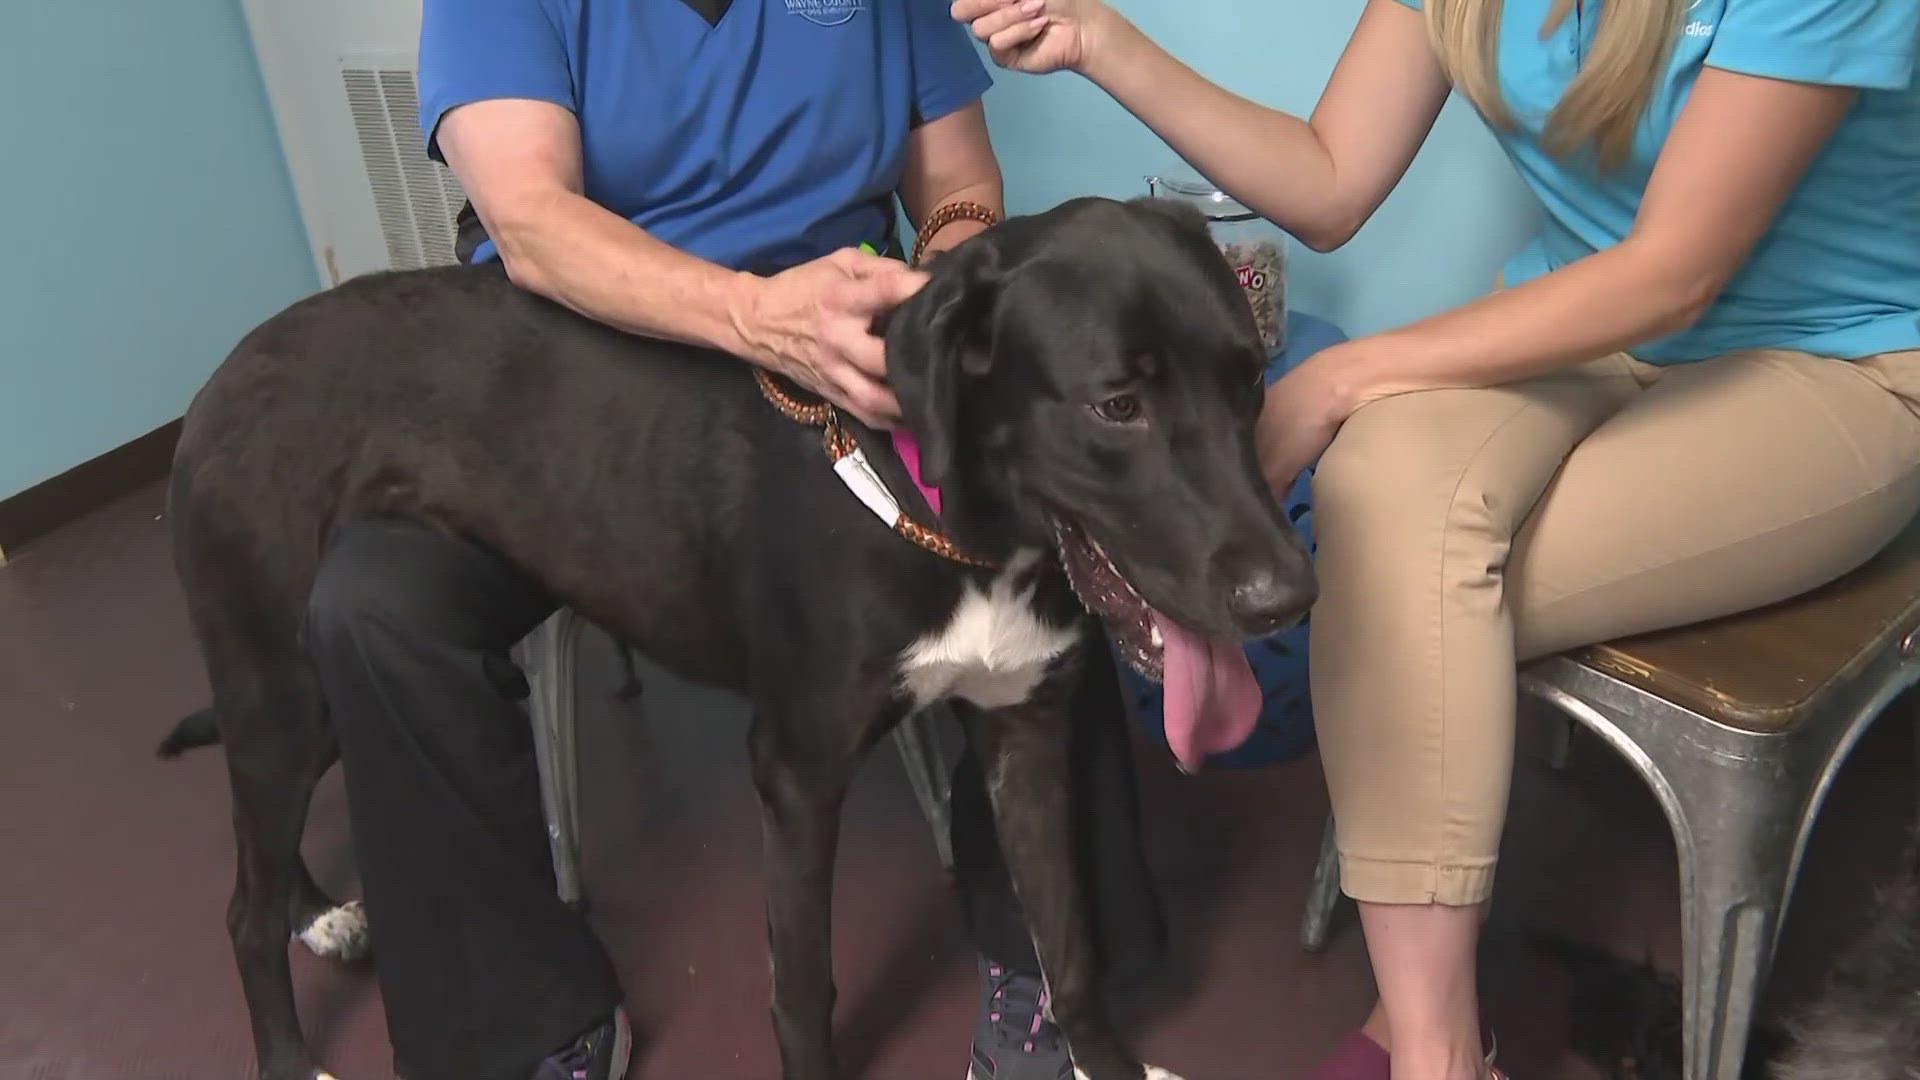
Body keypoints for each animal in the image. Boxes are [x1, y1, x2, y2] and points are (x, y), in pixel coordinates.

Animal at [157, 195, 1313, 1076]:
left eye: (1250, 379)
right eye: (1117, 406)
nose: (1290, 597)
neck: (958, 523)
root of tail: (215, 381)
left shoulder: (1025, 733)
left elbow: (1066, 950)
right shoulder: (797, 771)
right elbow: (802, 985)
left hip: (290, 700)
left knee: (261, 863)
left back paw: (322, 913)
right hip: (281, 685)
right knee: (240, 908)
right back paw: (288, 1041)